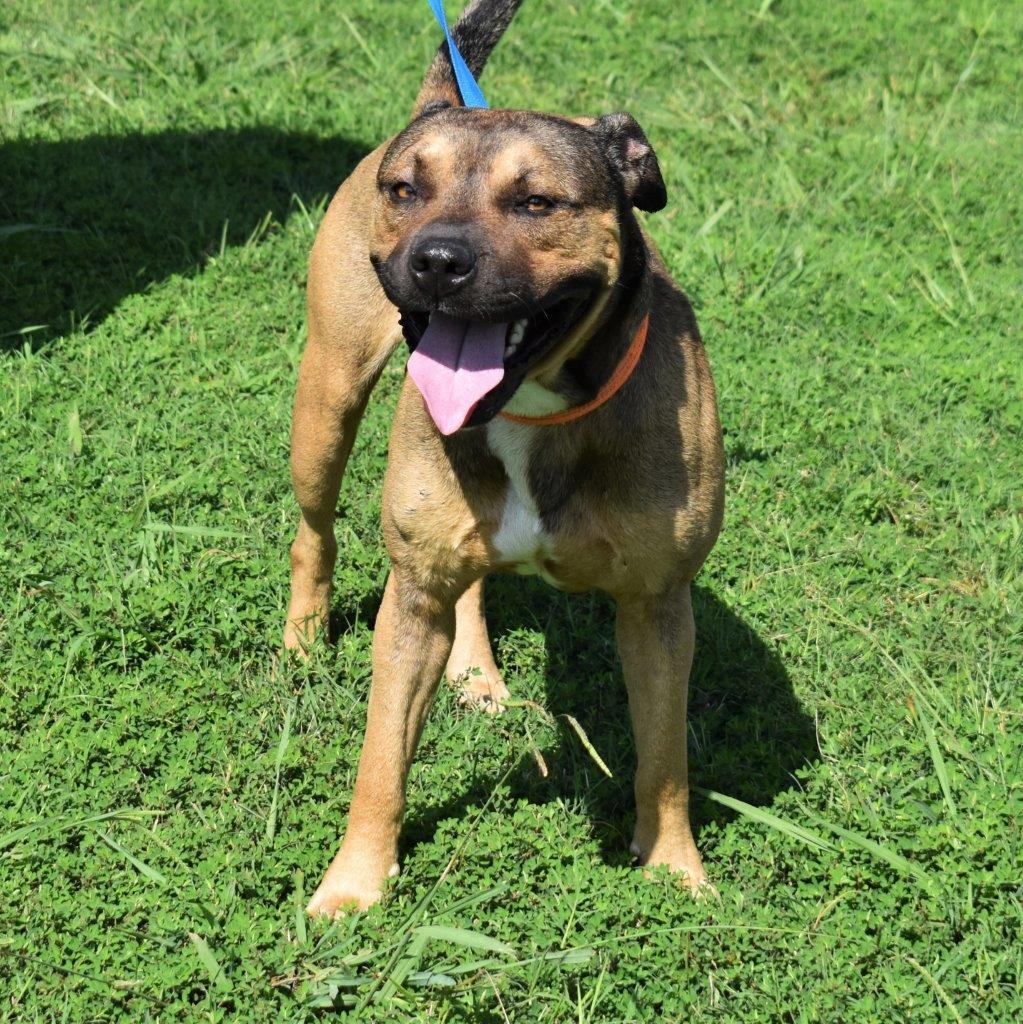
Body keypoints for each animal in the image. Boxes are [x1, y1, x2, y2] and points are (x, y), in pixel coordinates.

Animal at [284, 0, 724, 916]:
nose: (437, 260)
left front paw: (673, 869)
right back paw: (303, 639)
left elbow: (664, 762)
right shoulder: (411, 600)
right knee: (316, 530)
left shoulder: (659, 606)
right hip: (327, 401)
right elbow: (380, 760)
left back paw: (473, 671)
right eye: (405, 191)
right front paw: (354, 885)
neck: (533, 404)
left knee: (475, 576)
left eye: (535, 202)